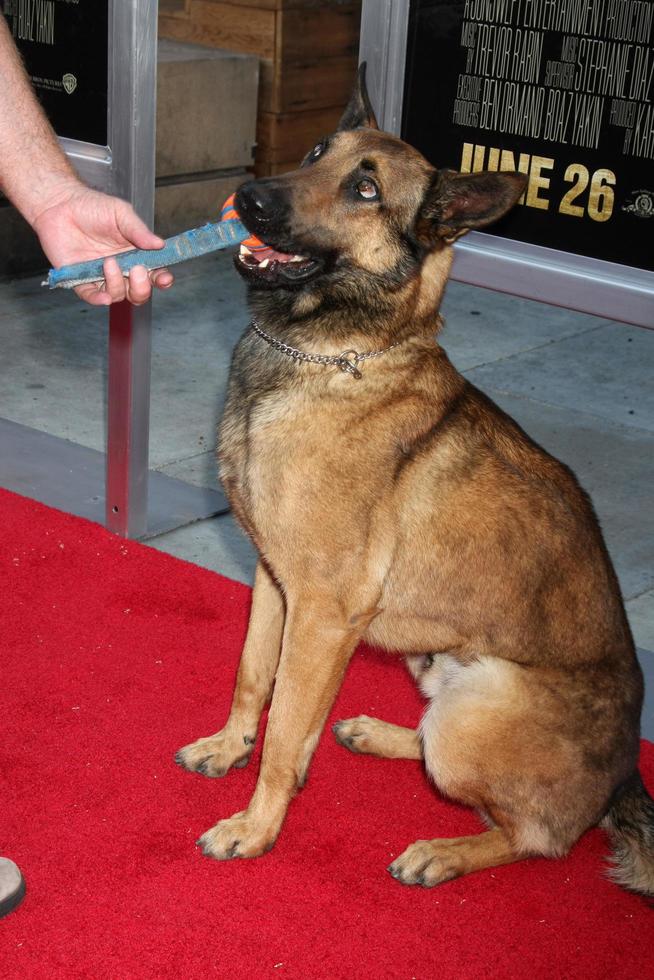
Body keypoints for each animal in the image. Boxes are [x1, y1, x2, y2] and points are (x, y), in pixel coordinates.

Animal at [177, 69, 652, 896]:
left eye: (365, 189)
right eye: (315, 152)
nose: (251, 196)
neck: (328, 355)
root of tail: (624, 777)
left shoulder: (323, 612)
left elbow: (285, 733)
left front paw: (257, 827)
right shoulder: (275, 583)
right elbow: (254, 678)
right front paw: (229, 746)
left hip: (478, 707)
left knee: (539, 836)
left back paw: (446, 851)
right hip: (436, 668)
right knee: (436, 749)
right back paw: (380, 733)